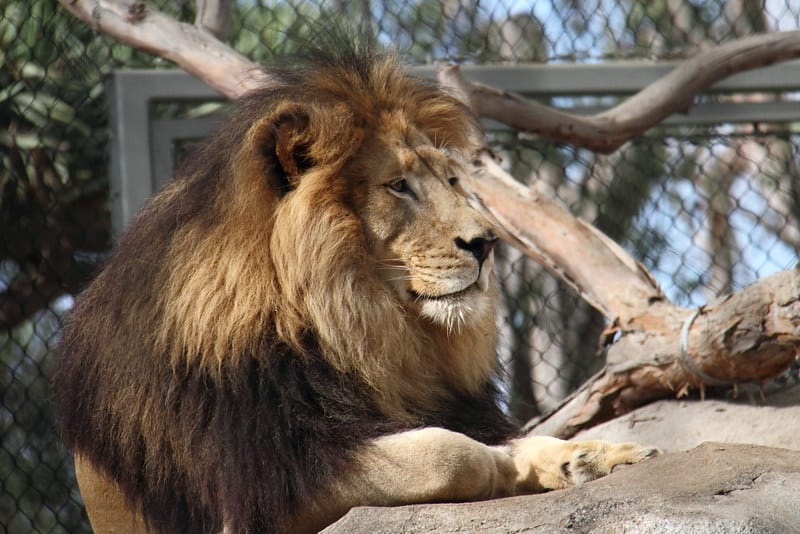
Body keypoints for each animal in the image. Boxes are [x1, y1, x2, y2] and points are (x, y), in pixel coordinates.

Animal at [53, 43, 660, 534]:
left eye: (451, 179)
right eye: (399, 186)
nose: (486, 243)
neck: (353, 326)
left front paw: (591, 454)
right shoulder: (268, 485)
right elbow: (450, 454)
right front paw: (508, 466)